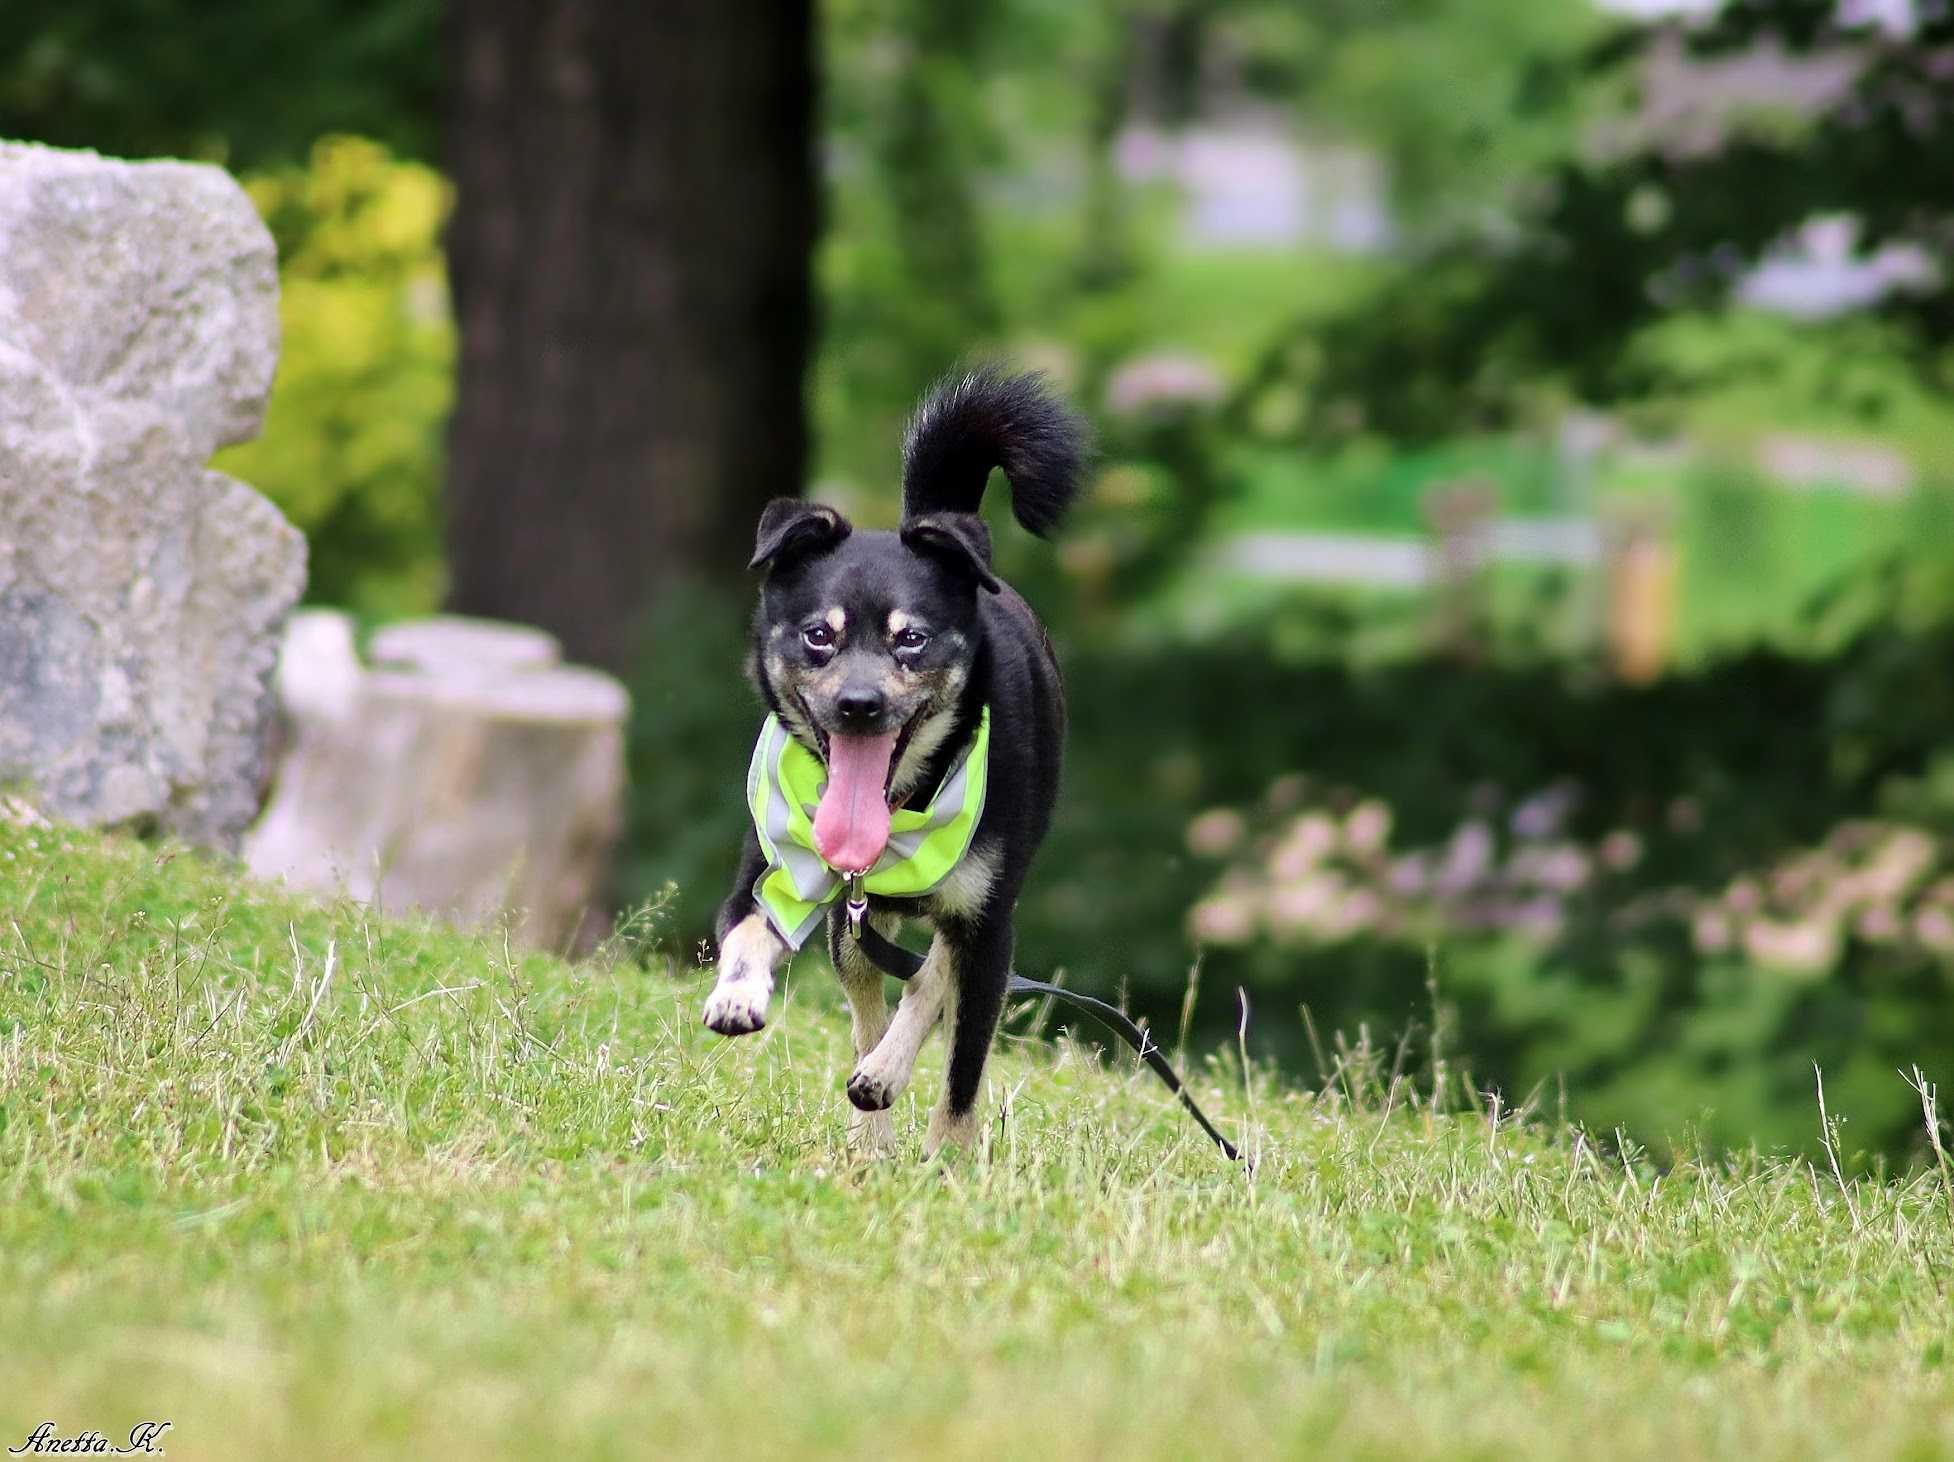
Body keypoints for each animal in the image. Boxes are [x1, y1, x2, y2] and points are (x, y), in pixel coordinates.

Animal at [707, 367, 1102, 1157]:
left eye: (911, 639)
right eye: (819, 635)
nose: (859, 704)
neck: (900, 807)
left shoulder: (990, 924)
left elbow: (959, 1062)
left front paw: (948, 1159)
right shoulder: (775, 876)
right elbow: (747, 931)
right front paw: (736, 992)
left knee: (925, 988)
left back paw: (884, 1079)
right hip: (852, 927)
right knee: (867, 1008)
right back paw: (872, 1130)